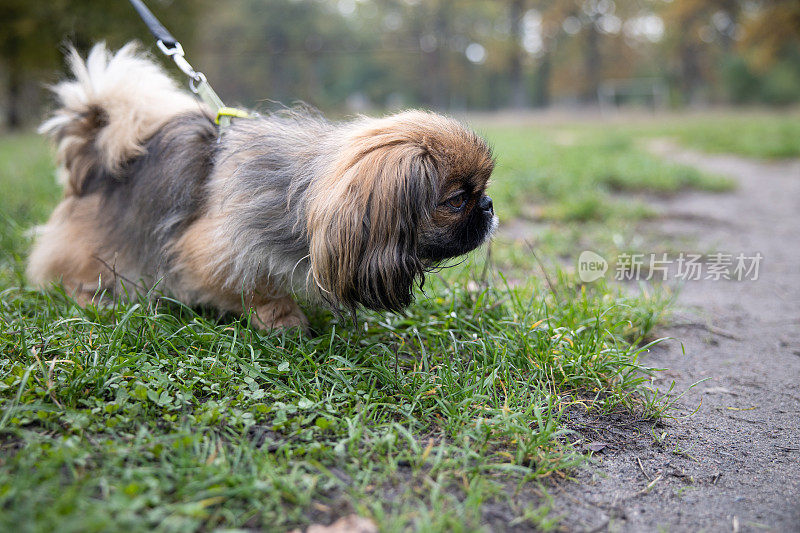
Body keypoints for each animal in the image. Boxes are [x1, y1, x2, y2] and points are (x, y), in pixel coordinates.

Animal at [26, 43, 494, 330]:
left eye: (480, 191)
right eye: (457, 200)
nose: (488, 206)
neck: (300, 195)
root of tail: (93, 157)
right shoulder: (208, 249)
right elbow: (256, 286)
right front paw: (283, 319)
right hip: (101, 247)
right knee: (73, 275)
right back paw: (98, 301)